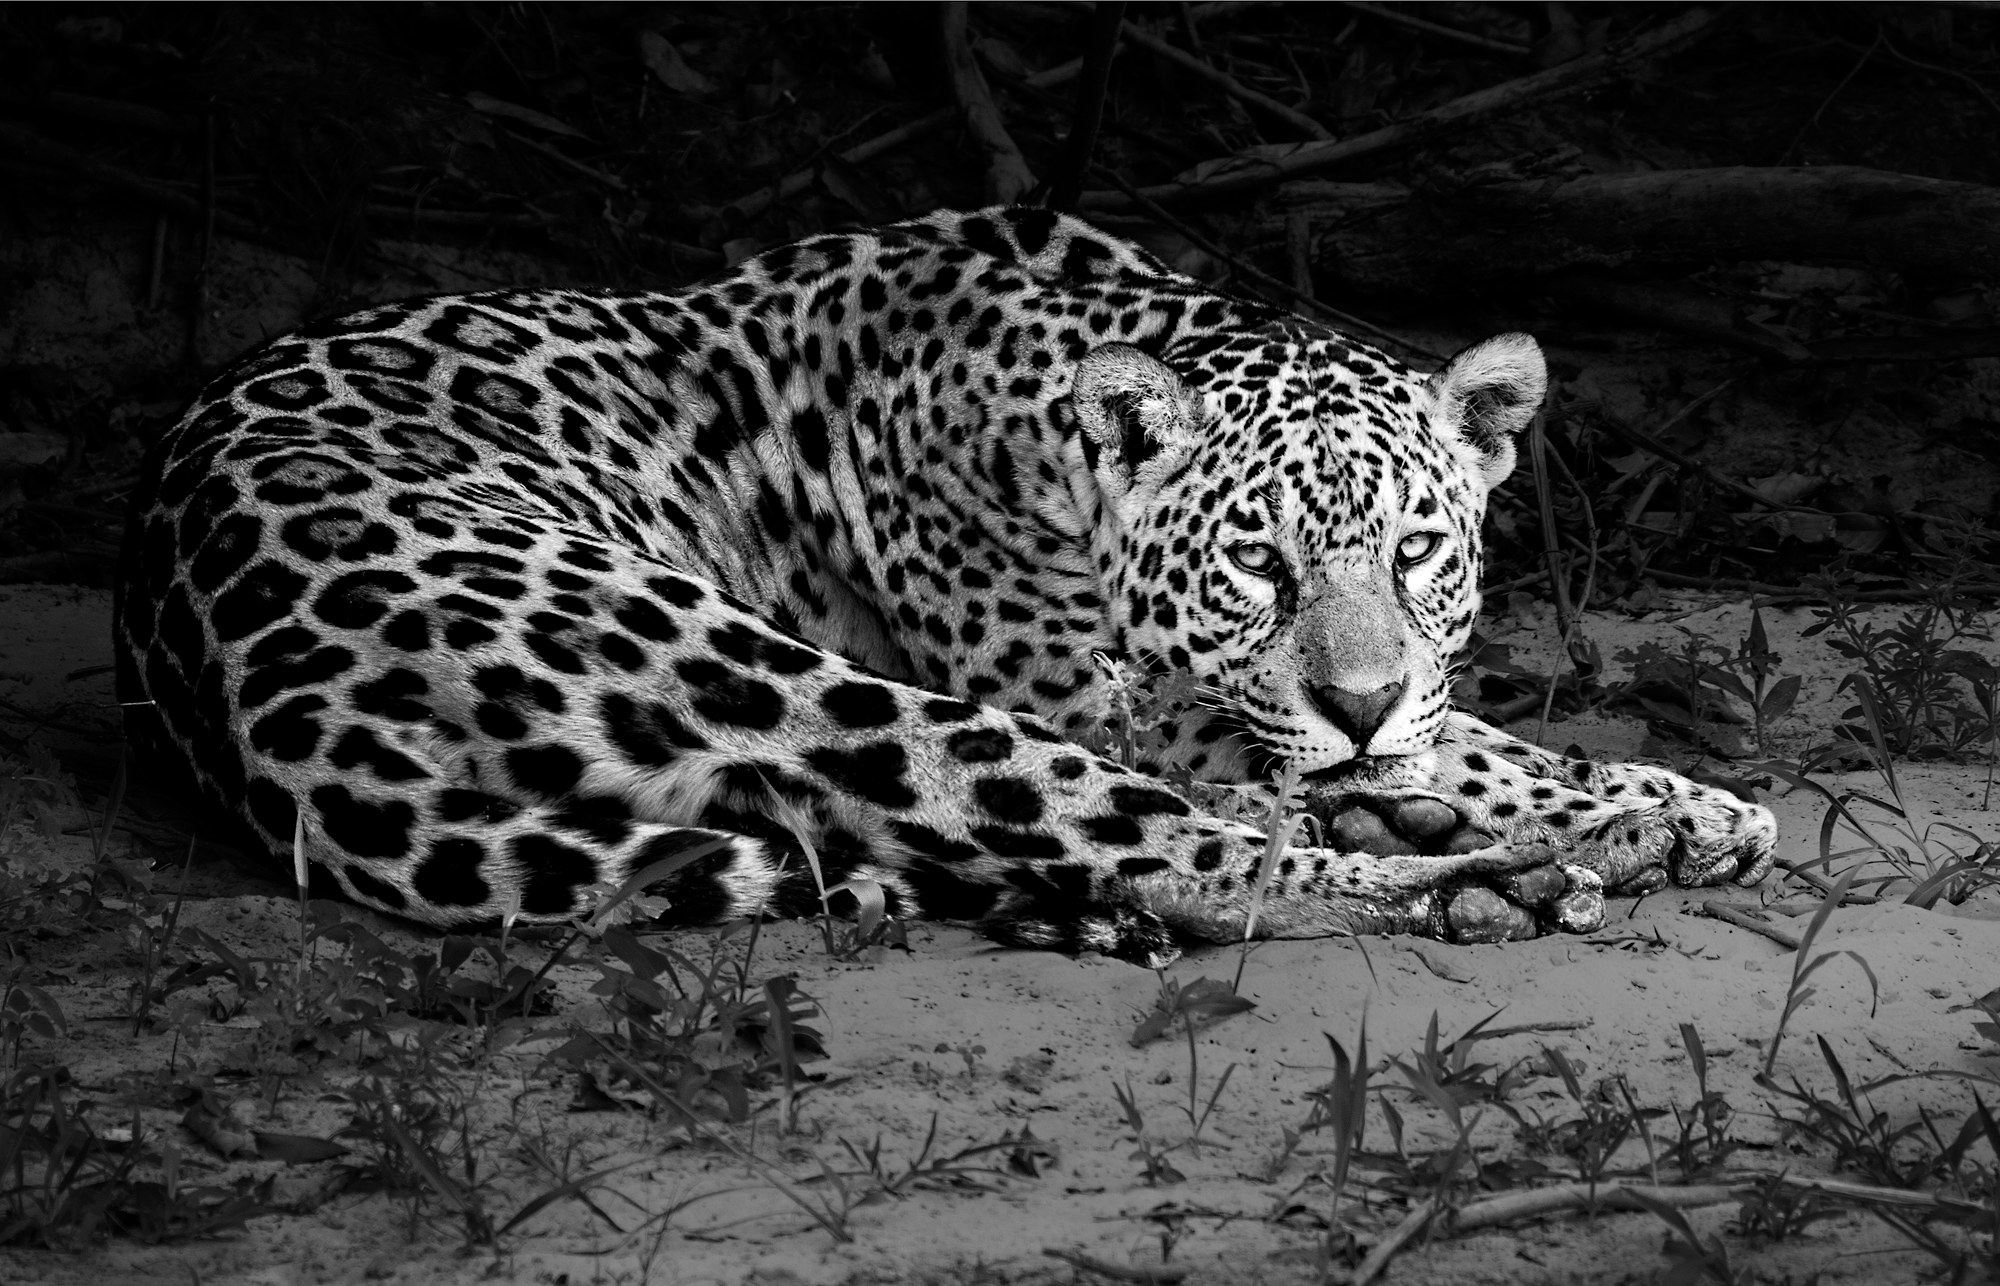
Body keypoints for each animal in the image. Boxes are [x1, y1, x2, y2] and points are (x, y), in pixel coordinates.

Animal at [113, 205, 1776, 967]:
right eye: (1258, 563)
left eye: (1418, 552)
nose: (1360, 702)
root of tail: (253, 690)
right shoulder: (1109, 701)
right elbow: (1316, 771)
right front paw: (1608, 814)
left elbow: (1465, 734)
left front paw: (1681, 800)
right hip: (765, 665)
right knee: (1179, 854)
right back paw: (1494, 882)